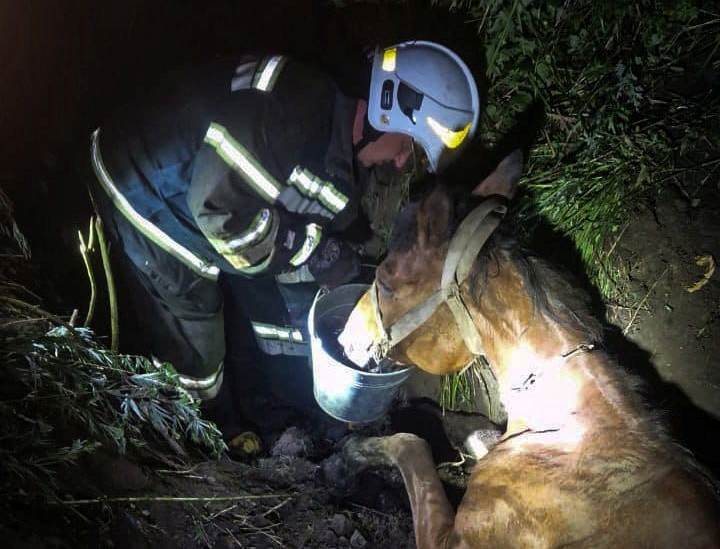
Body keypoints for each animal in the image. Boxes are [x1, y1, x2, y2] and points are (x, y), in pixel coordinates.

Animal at [338, 151, 720, 548]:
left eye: (385, 281)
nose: (345, 338)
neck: (565, 424)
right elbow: (472, 430)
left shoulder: (453, 540)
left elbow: (412, 446)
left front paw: (355, 451)